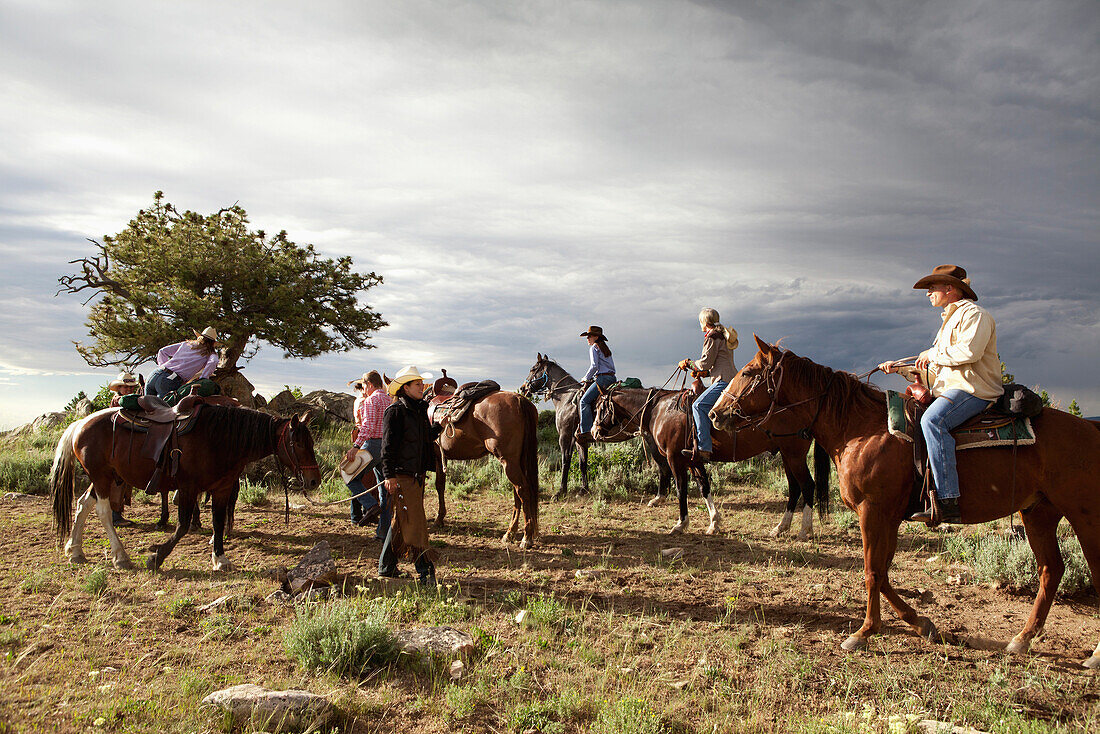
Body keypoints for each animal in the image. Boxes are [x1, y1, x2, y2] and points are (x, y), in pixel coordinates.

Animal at [51, 404, 319, 572]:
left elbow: (218, 523)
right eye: (297, 443)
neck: (220, 439)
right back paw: (120, 557)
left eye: (311, 442)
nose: (314, 480)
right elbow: (182, 526)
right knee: (103, 512)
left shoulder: (221, 489)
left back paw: (75, 551)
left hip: (106, 477)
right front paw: (156, 557)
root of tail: (80, 424)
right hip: (102, 476)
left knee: (83, 504)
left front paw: (220, 559)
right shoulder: (188, 487)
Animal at [435, 393, 543, 548]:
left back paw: (526, 538)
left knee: (523, 490)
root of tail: (519, 399)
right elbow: (440, 485)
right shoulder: (439, 458)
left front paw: (437, 519)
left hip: (509, 462)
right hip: (518, 462)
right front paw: (440, 517)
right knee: (518, 493)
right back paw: (509, 534)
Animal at [519, 354, 673, 499]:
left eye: (533, 369)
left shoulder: (565, 437)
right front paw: (583, 489)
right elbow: (582, 463)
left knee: (664, 467)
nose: (523, 388)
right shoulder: (580, 441)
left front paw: (560, 492)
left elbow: (565, 462)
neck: (566, 398)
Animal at [594, 387, 827, 537]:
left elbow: (681, 490)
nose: (595, 431)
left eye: (598, 408)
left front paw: (681, 524)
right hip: (787, 456)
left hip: (794, 456)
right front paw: (714, 522)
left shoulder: (675, 459)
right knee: (795, 488)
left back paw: (805, 530)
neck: (660, 410)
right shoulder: (693, 460)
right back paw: (781, 527)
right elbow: (704, 488)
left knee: (807, 485)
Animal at [708, 336, 1100, 669]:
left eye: (748, 372)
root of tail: (1091, 430)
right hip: (1038, 513)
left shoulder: (872, 512)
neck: (861, 429)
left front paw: (863, 632)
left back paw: (1093, 655)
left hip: (1085, 516)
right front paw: (921, 623)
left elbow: (871, 571)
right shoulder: (891, 516)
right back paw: (1022, 639)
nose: (715, 413)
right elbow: (882, 573)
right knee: (1051, 570)